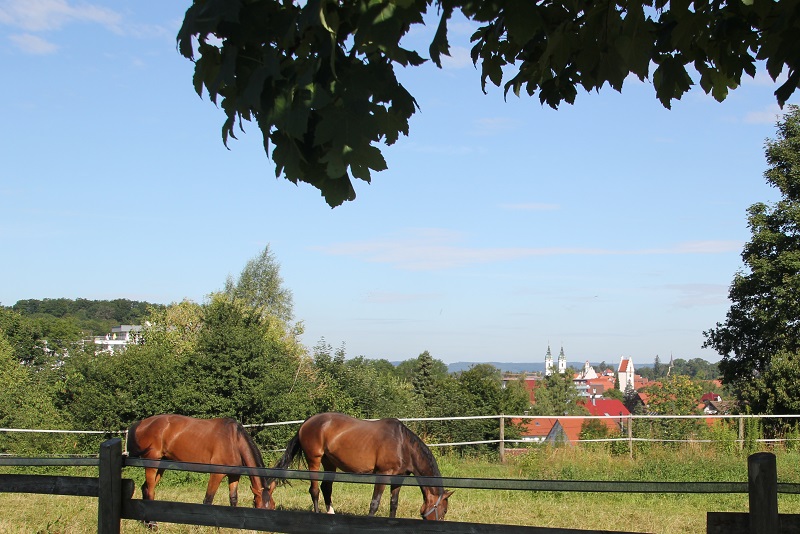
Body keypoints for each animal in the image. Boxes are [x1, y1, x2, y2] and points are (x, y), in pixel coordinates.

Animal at [126, 414, 276, 516]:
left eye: (273, 507)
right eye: (261, 508)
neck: (234, 441)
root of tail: (140, 423)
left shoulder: (234, 475)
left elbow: (233, 499)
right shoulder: (217, 474)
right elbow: (208, 500)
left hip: (162, 463)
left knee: (146, 488)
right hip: (152, 462)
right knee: (150, 490)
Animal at [270, 414, 454, 524]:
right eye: (444, 510)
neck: (403, 444)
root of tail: (306, 422)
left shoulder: (399, 477)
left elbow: (393, 503)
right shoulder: (383, 474)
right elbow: (375, 503)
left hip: (329, 462)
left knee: (326, 488)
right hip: (313, 460)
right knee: (314, 490)